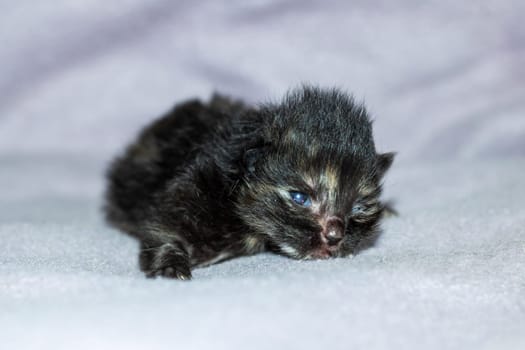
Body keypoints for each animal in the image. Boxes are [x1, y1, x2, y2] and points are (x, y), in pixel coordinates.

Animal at [104, 86, 392, 280]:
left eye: (359, 208)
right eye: (300, 198)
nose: (334, 236)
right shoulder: (194, 185)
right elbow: (164, 226)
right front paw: (169, 265)